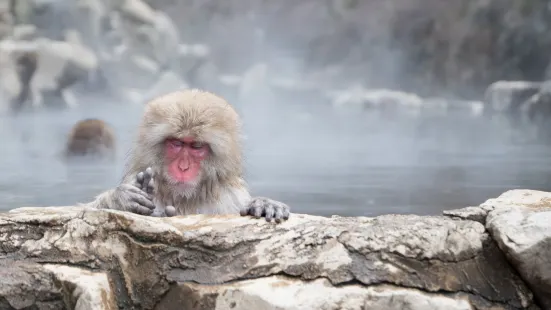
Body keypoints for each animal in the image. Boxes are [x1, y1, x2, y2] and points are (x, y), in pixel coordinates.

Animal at [84, 88, 292, 222]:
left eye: (196, 146)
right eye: (177, 143)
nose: (183, 167)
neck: (186, 200)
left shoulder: (230, 197)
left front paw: (264, 204)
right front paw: (119, 199)